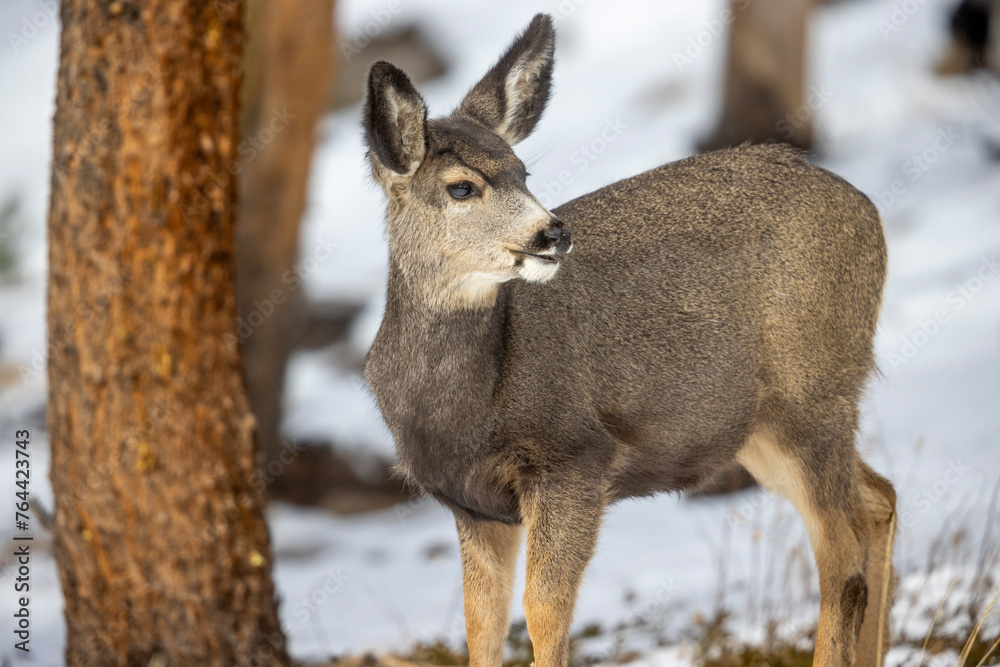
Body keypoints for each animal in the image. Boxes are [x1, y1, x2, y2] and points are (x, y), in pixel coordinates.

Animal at [362, 14, 896, 667]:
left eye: (523, 172)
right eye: (461, 188)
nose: (553, 233)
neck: (464, 408)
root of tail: (869, 211)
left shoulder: (574, 458)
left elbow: (544, 612)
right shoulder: (472, 501)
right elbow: (480, 625)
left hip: (812, 391)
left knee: (843, 564)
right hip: (765, 428)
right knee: (878, 499)